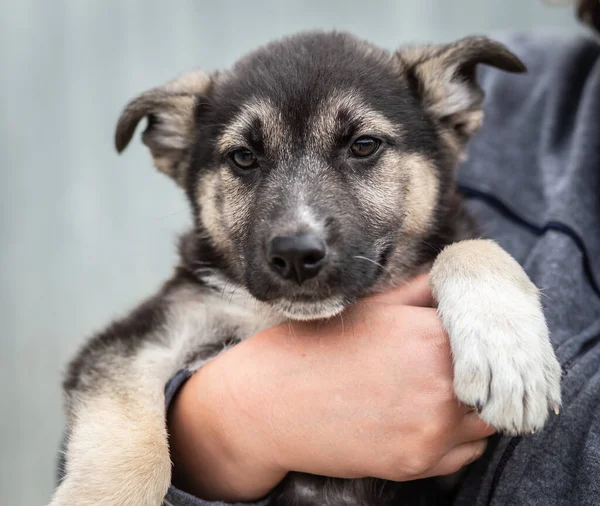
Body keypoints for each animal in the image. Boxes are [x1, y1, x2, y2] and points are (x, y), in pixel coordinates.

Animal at [50, 31, 564, 506]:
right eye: (243, 157)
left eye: (363, 145)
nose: (296, 254)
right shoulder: (146, 333)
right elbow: (123, 434)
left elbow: (468, 246)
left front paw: (509, 354)